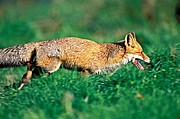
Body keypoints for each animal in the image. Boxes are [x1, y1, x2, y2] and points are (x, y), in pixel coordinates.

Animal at [0, 31, 150, 89]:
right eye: (141, 52)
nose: (149, 60)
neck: (109, 56)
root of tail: (40, 42)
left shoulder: (103, 75)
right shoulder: (87, 72)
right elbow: (81, 84)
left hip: (44, 71)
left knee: (26, 73)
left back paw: (20, 87)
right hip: (49, 69)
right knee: (30, 64)